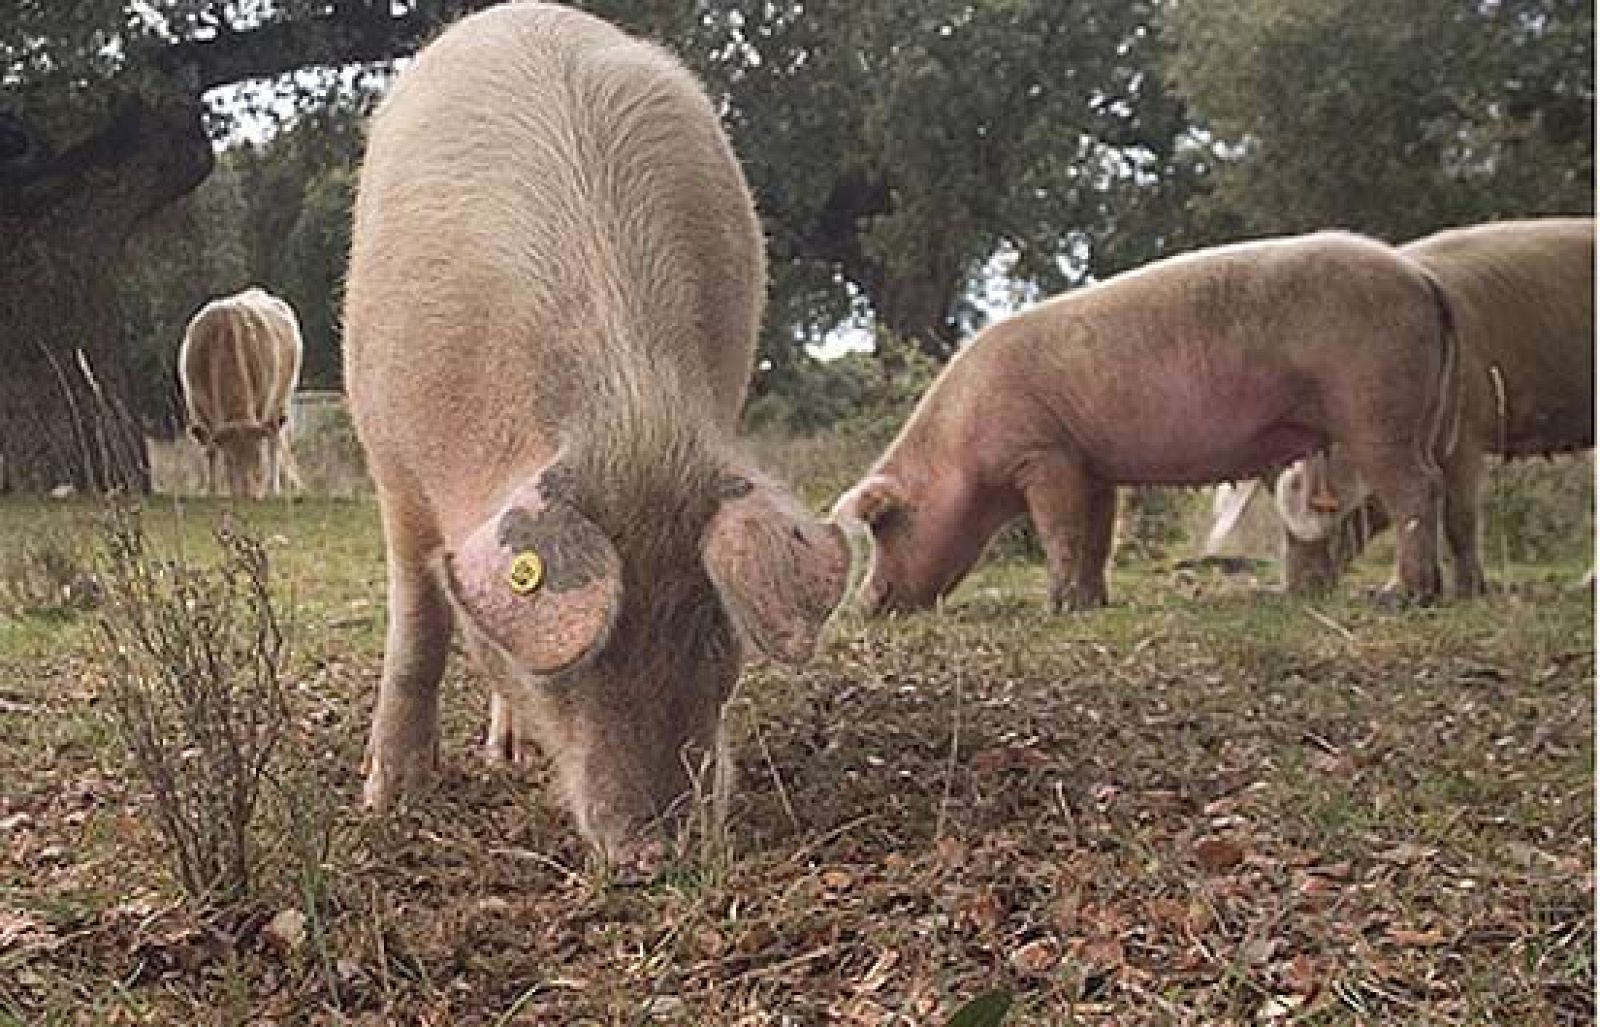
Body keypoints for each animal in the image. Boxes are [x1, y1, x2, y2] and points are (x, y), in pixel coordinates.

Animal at [343, 3, 850, 861]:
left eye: (719, 634)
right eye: (568, 670)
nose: (659, 851)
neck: (630, 415)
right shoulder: (394, 461)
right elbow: (419, 621)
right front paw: (389, 803)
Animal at [833, 232, 1461, 613]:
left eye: (887, 527)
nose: (863, 607)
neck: (958, 448)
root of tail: (1421, 279)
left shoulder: (1044, 455)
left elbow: (1059, 531)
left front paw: (1054, 606)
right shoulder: (1092, 467)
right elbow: (1096, 537)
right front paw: (1089, 605)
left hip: (1375, 408)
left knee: (1416, 490)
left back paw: (1399, 596)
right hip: (1413, 416)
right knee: (1427, 484)